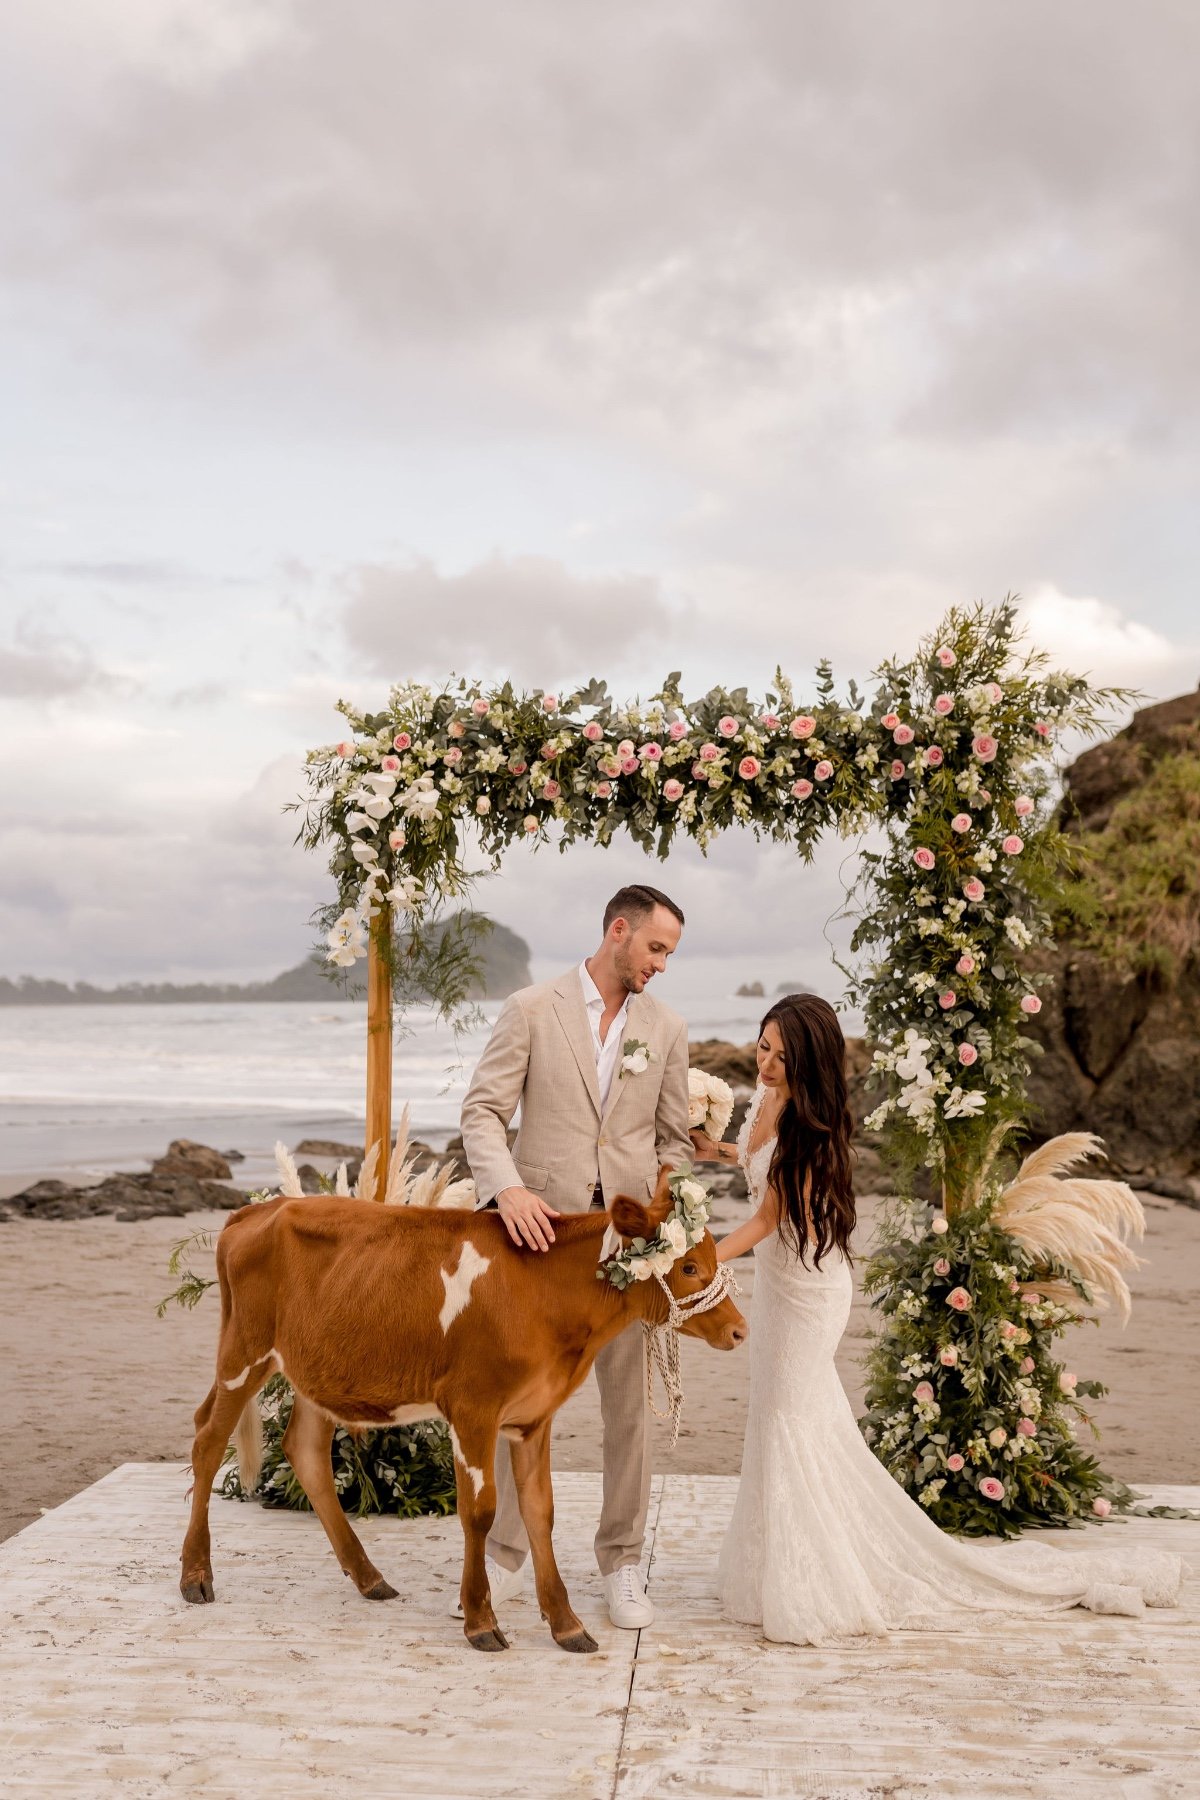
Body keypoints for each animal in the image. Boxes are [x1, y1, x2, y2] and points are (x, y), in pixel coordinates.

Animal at [179, 1173, 744, 1648]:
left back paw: (369, 1578)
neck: (546, 1292)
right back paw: (196, 1575)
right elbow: (480, 1512)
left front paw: (565, 1624)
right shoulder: (474, 1408)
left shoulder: (534, 1415)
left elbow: (540, 1511)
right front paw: (480, 1620)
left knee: (306, 1451)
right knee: (207, 1439)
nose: (739, 1330)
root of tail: (259, 1209)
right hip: (244, 1352)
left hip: (314, 1365)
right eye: (688, 1266)